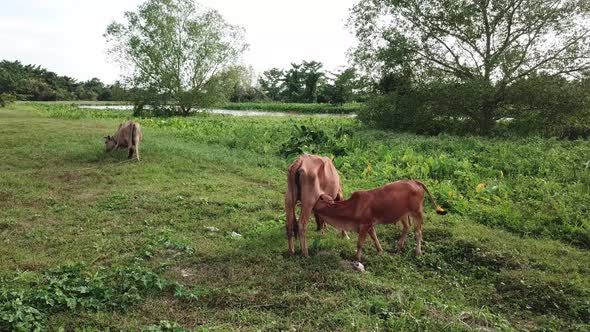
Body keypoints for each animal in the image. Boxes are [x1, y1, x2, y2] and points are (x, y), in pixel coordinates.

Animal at [314, 180, 448, 260]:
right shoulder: (369, 225)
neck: (353, 206)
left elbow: (359, 243)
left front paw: (357, 258)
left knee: (418, 232)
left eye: (318, 200)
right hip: (403, 214)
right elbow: (374, 237)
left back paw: (418, 252)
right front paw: (380, 251)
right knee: (406, 227)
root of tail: (415, 181)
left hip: (417, 213)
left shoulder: (364, 225)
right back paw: (399, 247)